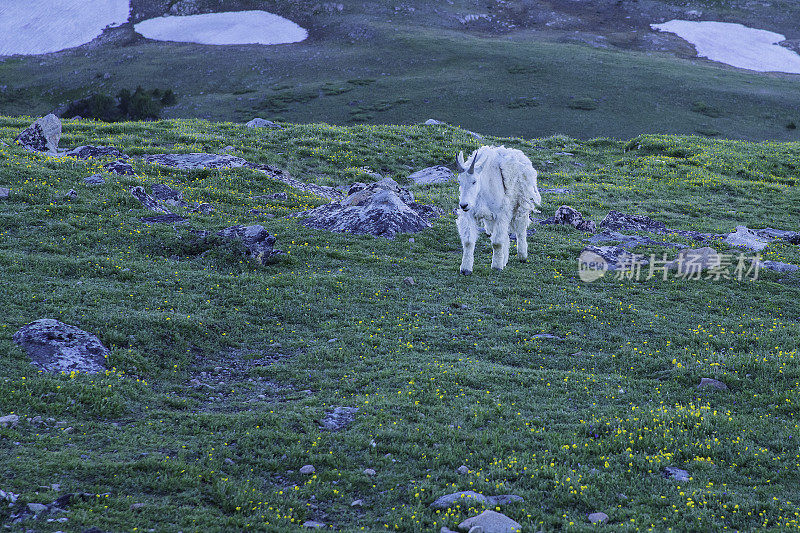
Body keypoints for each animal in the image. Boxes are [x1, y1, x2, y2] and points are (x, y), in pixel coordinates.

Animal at [456, 144, 544, 274]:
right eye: (459, 181)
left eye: (474, 181)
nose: (463, 205)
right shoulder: (470, 214)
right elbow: (468, 242)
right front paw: (465, 269)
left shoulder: (501, 214)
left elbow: (497, 243)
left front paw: (496, 267)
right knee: (505, 236)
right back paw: (504, 260)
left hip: (521, 205)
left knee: (520, 230)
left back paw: (522, 256)